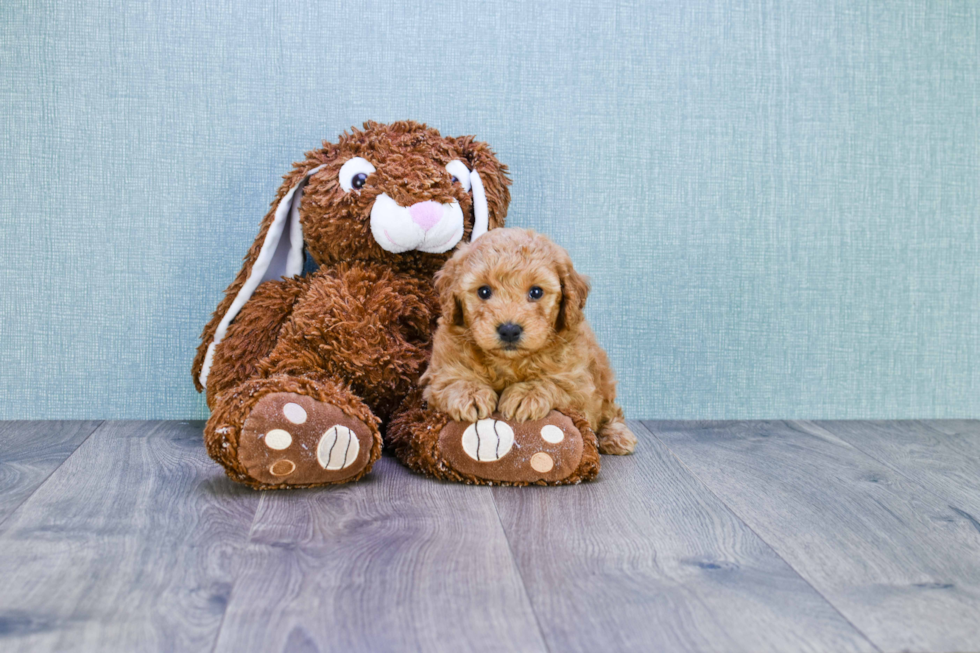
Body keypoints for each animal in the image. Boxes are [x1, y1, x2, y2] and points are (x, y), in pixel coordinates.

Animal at [420, 229, 636, 454]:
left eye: (536, 292)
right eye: (484, 291)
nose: (509, 330)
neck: (509, 361)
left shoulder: (581, 389)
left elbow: (557, 385)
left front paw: (526, 394)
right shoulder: (438, 376)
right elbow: (451, 381)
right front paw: (470, 394)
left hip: (604, 379)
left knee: (612, 411)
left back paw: (616, 435)